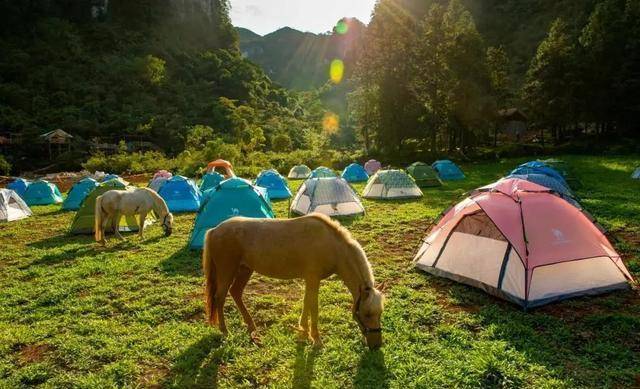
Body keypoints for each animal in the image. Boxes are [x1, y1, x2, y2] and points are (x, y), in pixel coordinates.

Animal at [204, 212, 384, 348]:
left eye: (380, 313)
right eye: (367, 314)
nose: (376, 345)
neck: (332, 245)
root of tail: (214, 230)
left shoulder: (310, 280)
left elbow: (306, 304)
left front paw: (303, 333)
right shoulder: (313, 279)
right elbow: (313, 307)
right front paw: (316, 339)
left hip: (244, 270)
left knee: (236, 293)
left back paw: (251, 326)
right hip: (227, 271)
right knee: (220, 297)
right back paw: (225, 331)